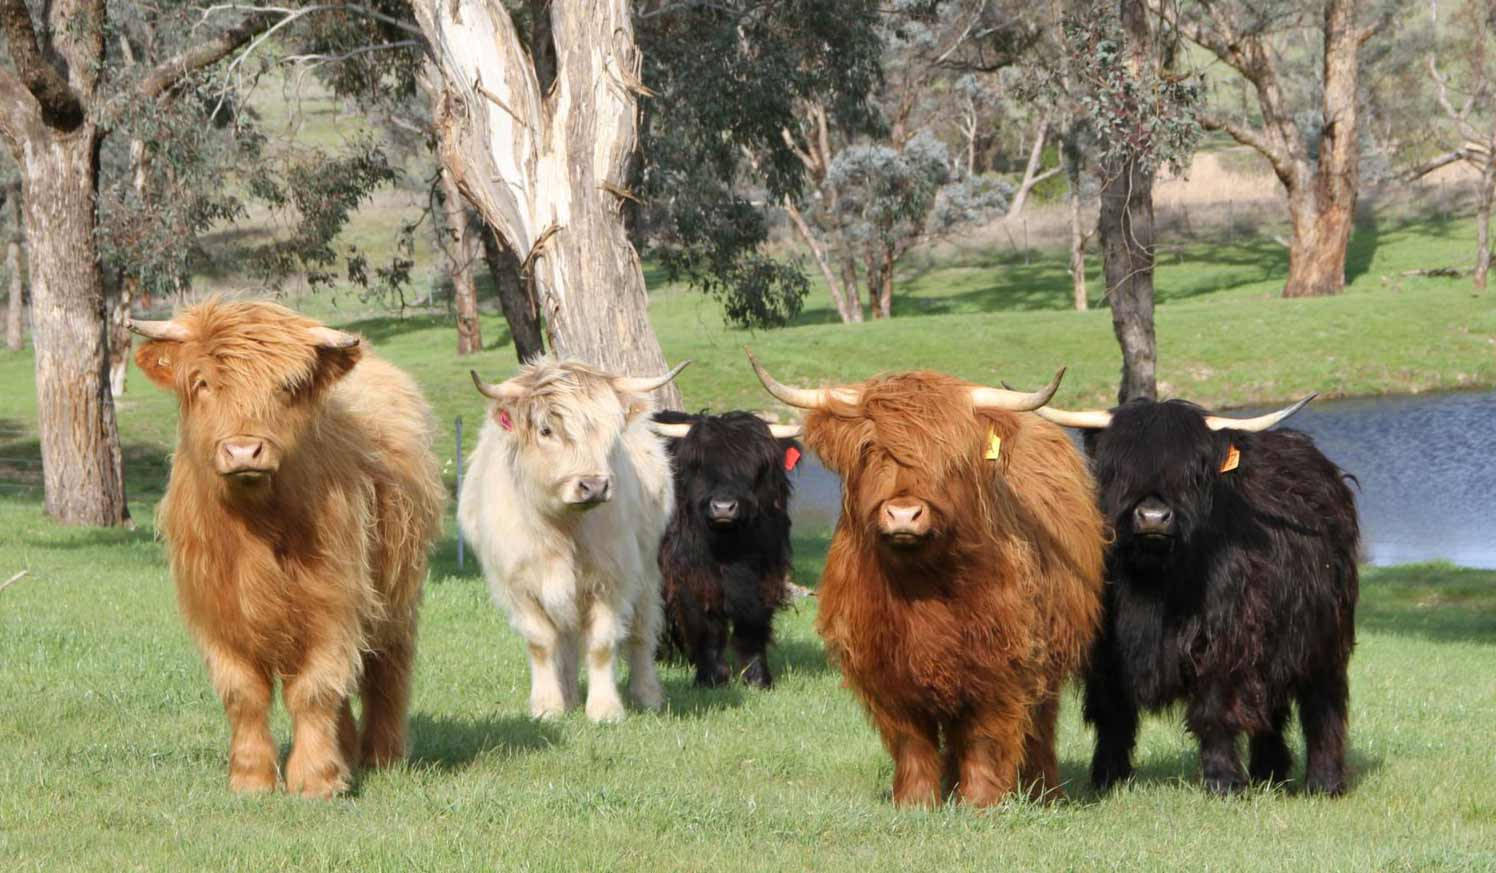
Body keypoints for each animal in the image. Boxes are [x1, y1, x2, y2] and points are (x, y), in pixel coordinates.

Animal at [457, 355, 685, 723]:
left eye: (611, 432)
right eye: (546, 430)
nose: (594, 486)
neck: (563, 527)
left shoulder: (611, 579)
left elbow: (602, 643)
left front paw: (605, 709)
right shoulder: (518, 585)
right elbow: (541, 643)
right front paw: (547, 706)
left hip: (647, 573)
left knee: (641, 632)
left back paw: (647, 695)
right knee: (564, 642)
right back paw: (568, 695)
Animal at [649, 409, 801, 687]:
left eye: (755, 466)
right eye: (701, 466)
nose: (723, 507)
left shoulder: (766, 574)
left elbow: (753, 625)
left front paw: (759, 679)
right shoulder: (692, 575)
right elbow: (705, 626)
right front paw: (711, 679)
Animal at [748, 351, 1113, 807]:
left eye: (948, 456)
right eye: (872, 450)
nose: (904, 514)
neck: (921, 584)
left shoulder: (1001, 662)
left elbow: (986, 738)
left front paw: (980, 803)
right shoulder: (882, 665)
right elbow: (911, 741)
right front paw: (917, 803)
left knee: (1041, 723)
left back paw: (1045, 791)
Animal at [1035, 397, 1364, 795]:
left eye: (1192, 473)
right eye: (1117, 468)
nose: (1153, 516)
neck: (1152, 582)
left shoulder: (1223, 642)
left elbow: (1215, 710)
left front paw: (1223, 782)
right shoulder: (1106, 653)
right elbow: (1112, 714)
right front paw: (1107, 778)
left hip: (1325, 639)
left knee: (1322, 707)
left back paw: (1323, 782)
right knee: (1272, 709)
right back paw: (1269, 773)